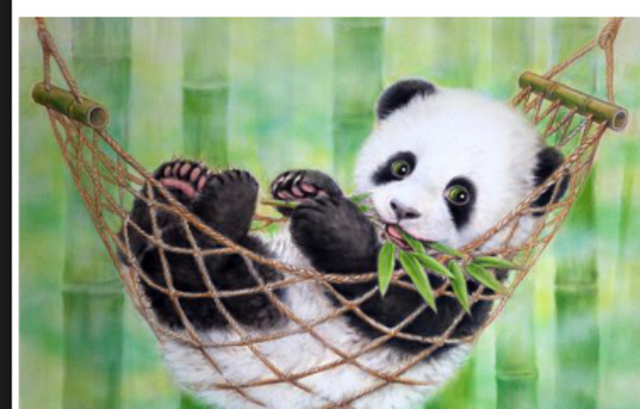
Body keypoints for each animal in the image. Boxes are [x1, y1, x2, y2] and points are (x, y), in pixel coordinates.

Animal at [121, 79, 565, 409]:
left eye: (459, 194)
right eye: (400, 166)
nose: (402, 210)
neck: (394, 250)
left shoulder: (467, 288)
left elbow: (396, 311)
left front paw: (332, 226)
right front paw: (305, 186)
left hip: (254, 311)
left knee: (191, 278)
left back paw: (221, 207)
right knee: (142, 251)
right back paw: (176, 186)